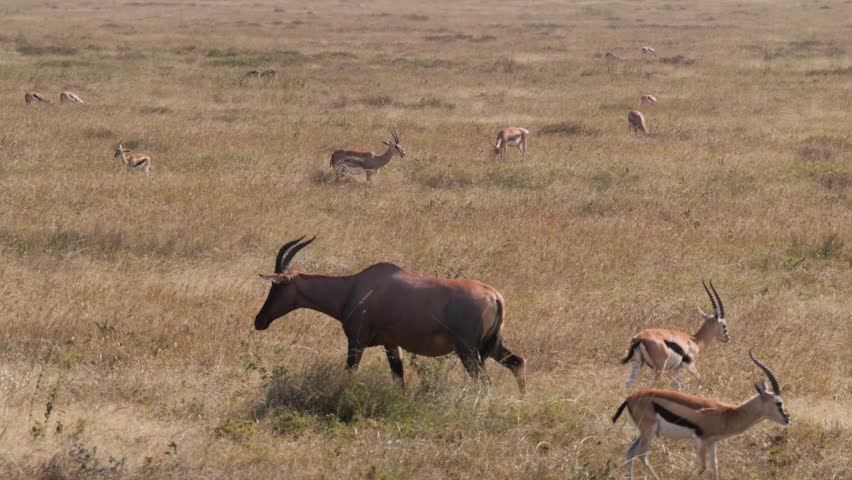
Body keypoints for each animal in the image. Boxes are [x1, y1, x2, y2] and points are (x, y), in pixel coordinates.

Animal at [254, 237, 527, 393]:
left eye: (276, 286)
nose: (259, 321)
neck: (355, 286)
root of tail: (495, 296)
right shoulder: (391, 344)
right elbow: (399, 379)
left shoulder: (356, 342)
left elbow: (349, 373)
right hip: (491, 346)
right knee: (518, 362)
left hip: (468, 351)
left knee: (485, 383)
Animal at [613, 352, 791, 480]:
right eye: (778, 402)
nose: (787, 418)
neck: (726, 414)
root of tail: (630, 398)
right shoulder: (700, 439)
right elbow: (702, 468)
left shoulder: (712, 442)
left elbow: (714, 467)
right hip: (648, 432)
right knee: (642, 456)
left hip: (644, 432)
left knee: (631, 452)